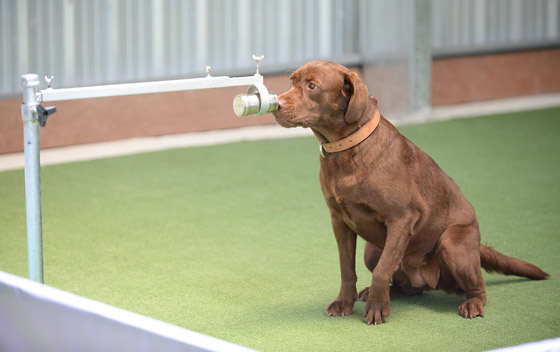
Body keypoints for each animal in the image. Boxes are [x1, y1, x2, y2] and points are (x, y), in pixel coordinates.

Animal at [274, 60, 548, 324]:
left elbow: (383, 269)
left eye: (312, 86)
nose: (276, 105)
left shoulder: (402, 218)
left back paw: (472, 304)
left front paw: (377, 309)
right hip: (372, 250)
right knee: (411, 287)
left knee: (478, 287)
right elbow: (346, 268)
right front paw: (345, 303)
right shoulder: (339, 220)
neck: (348, 148)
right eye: (292, 81)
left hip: (452, 244)